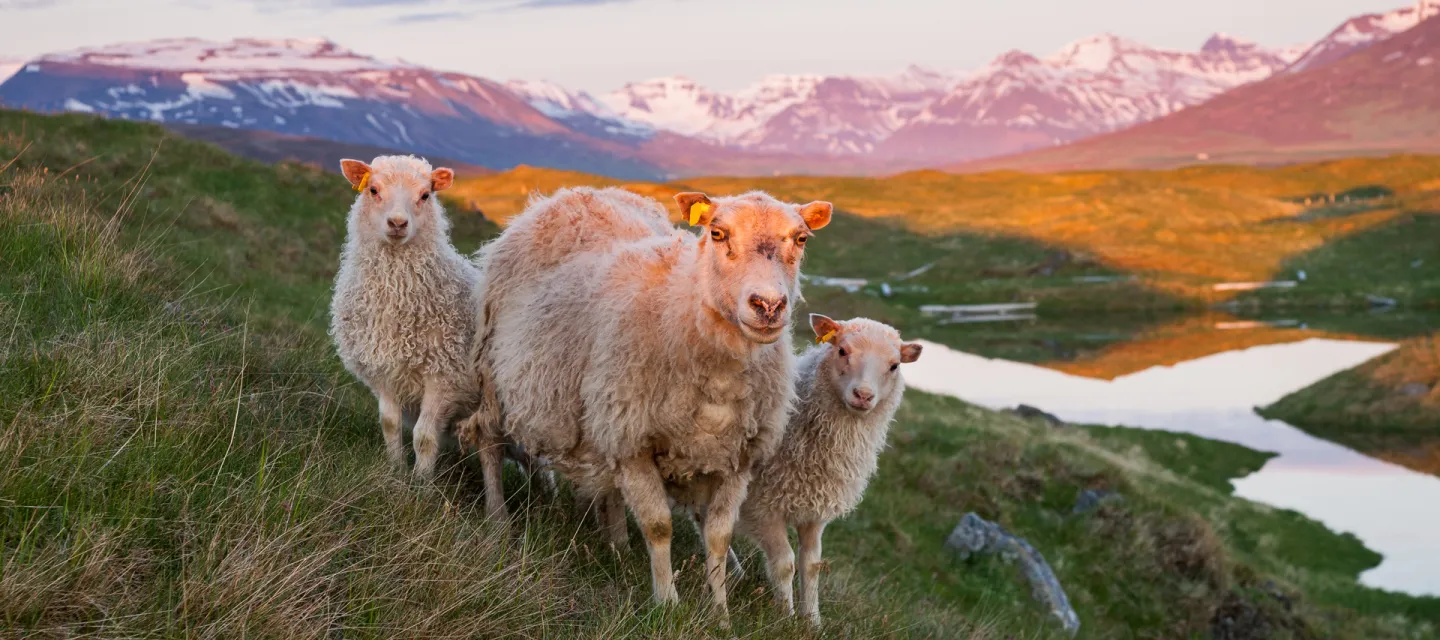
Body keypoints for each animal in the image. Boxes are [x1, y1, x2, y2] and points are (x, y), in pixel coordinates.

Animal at [329, 153, 506, 516]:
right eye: (373, 189)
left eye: (425, 195)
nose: (398, 223)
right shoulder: (384, 372)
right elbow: (390, 425)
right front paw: (395, 473)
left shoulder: (445, 377)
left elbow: (425, 437)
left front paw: (422, 489)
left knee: (491, 454)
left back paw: (497, 518)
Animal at [472, 185, 835, 619]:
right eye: (717, 233)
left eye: (801, 239)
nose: (768, 306)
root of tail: (573, 194)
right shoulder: (633, 442)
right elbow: (659, 526)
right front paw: (668, 605)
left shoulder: (737, 458)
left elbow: (718, 537)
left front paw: (719, 614)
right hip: (492, 369)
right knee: (488, 440)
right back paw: (497, 519)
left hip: (602, 421)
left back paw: (616, 544)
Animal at [737, 315, 927, 625]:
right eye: (842, 350)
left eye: (894, 365)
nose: (863, 395)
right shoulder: (762, 507)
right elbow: (785, 564)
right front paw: (785, 619)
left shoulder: (815, 512)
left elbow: (812, 565)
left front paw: (812, 621)